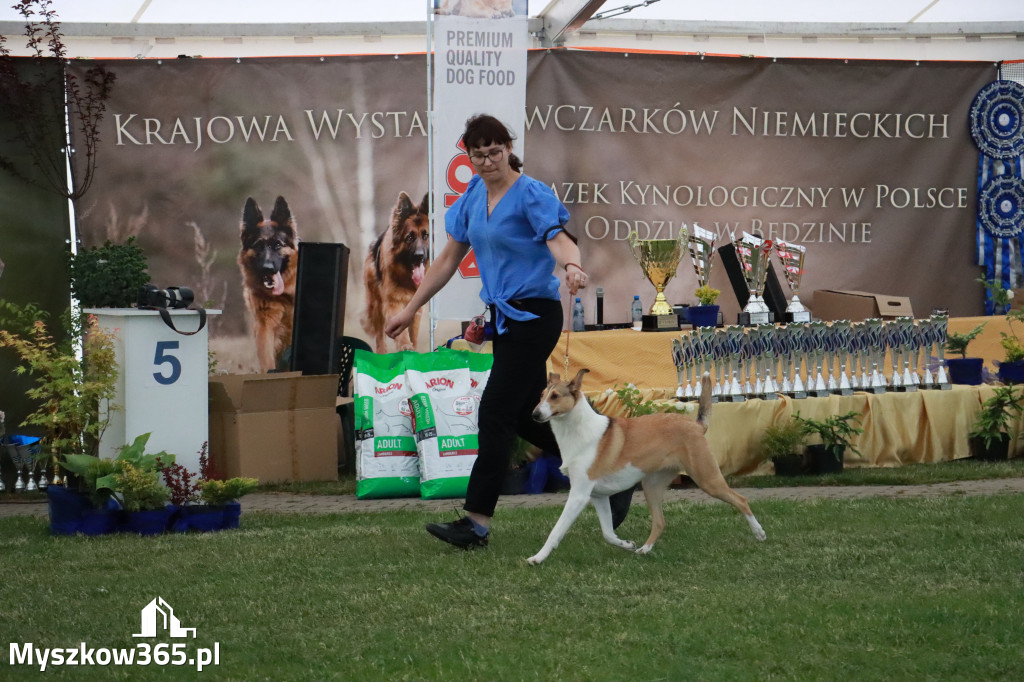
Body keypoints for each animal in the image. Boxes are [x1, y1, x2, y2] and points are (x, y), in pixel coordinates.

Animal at [532, 366, 765, 561]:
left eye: (555, 396)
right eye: (542, 395)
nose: (535, 414)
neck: (578, 432)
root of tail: (697, 426)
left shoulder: (579, 494)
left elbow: (557, 530)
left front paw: (537, 558)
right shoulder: (598, 496)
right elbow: (608, 533)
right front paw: (626, 544)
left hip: (707, 478)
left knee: (741, 500)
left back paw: (759, 533)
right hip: (651, 485)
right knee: (660, 522)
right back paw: (644, 549)